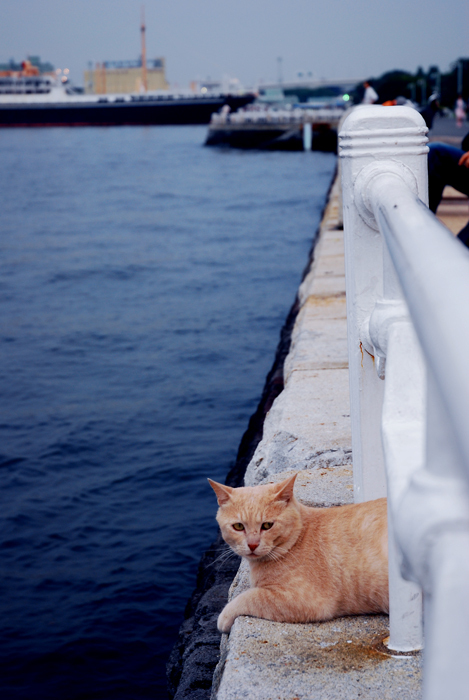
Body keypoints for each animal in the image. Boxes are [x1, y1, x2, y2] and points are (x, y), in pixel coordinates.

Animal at [208, 476, 388, 636]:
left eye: (267, 525)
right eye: (238, 526)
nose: (252, 544)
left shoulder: (305, 600)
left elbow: (250, 597)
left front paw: (224, 616)